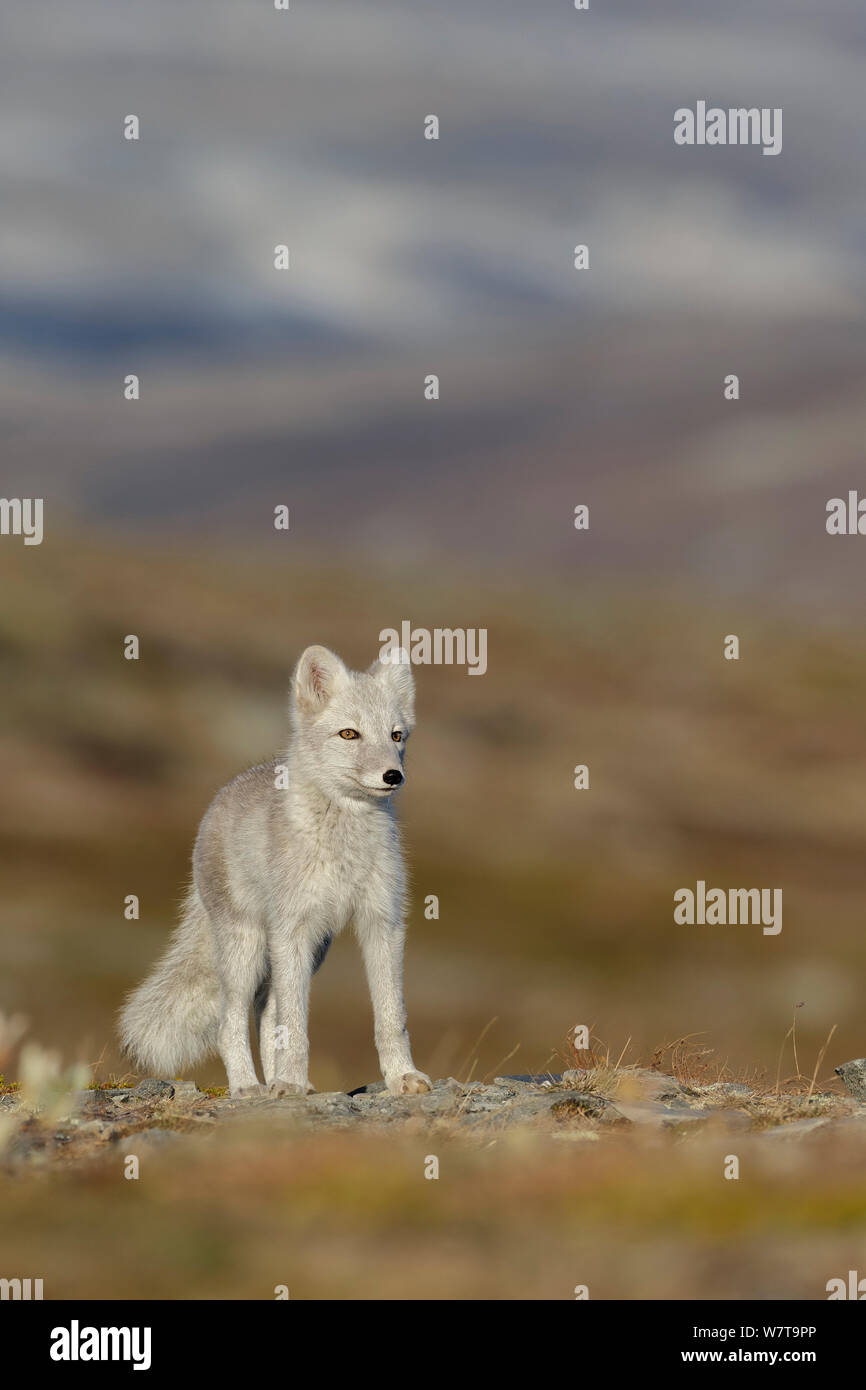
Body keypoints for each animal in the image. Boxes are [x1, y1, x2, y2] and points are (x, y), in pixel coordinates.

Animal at [120, 647, 430, 1095]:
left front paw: (402, 1075)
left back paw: (274, 1083)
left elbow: (392, 1017)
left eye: (396, 736)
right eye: (349, 734)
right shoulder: (293, 930)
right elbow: (296, 1025)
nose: (393, 776)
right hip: (249, 948)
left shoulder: (382, 923)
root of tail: (221, 796)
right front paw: (291, 1083)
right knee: (231, 1021)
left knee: (267, 1016)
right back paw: (249, 1089)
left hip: (310, 950)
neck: (344, 843)